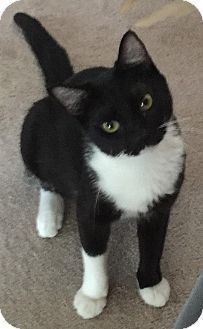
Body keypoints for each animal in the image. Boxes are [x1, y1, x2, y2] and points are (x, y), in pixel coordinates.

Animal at [14, 12, 186, 318]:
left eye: (146, 102)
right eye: (110, 126)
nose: (140, 134)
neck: (137, 164)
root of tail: (67, 81)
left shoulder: (159, 205)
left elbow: (153, 244)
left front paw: (151, 284)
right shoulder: (89, 202)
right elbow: (93, 253)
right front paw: (92, 296)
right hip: (31, 131)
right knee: (47, 178)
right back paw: (48, 216)